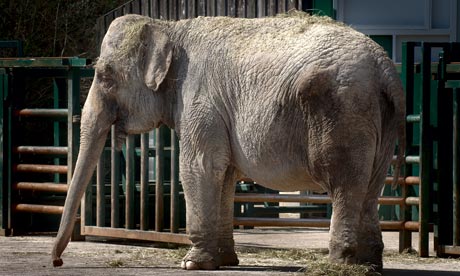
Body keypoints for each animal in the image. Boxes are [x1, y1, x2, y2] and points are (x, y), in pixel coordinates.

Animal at [51, 11, 402, 270]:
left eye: (105, 76)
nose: (57, 262)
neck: (170, 28)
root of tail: (385, 69)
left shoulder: (200, 99)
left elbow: (200, 167)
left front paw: (191, 264)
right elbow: (225, 175)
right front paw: (224, 261)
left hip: (343, 111)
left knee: (344, 183)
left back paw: (338, 265)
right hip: (378, 122)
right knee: (371, 186)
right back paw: (370, 265)